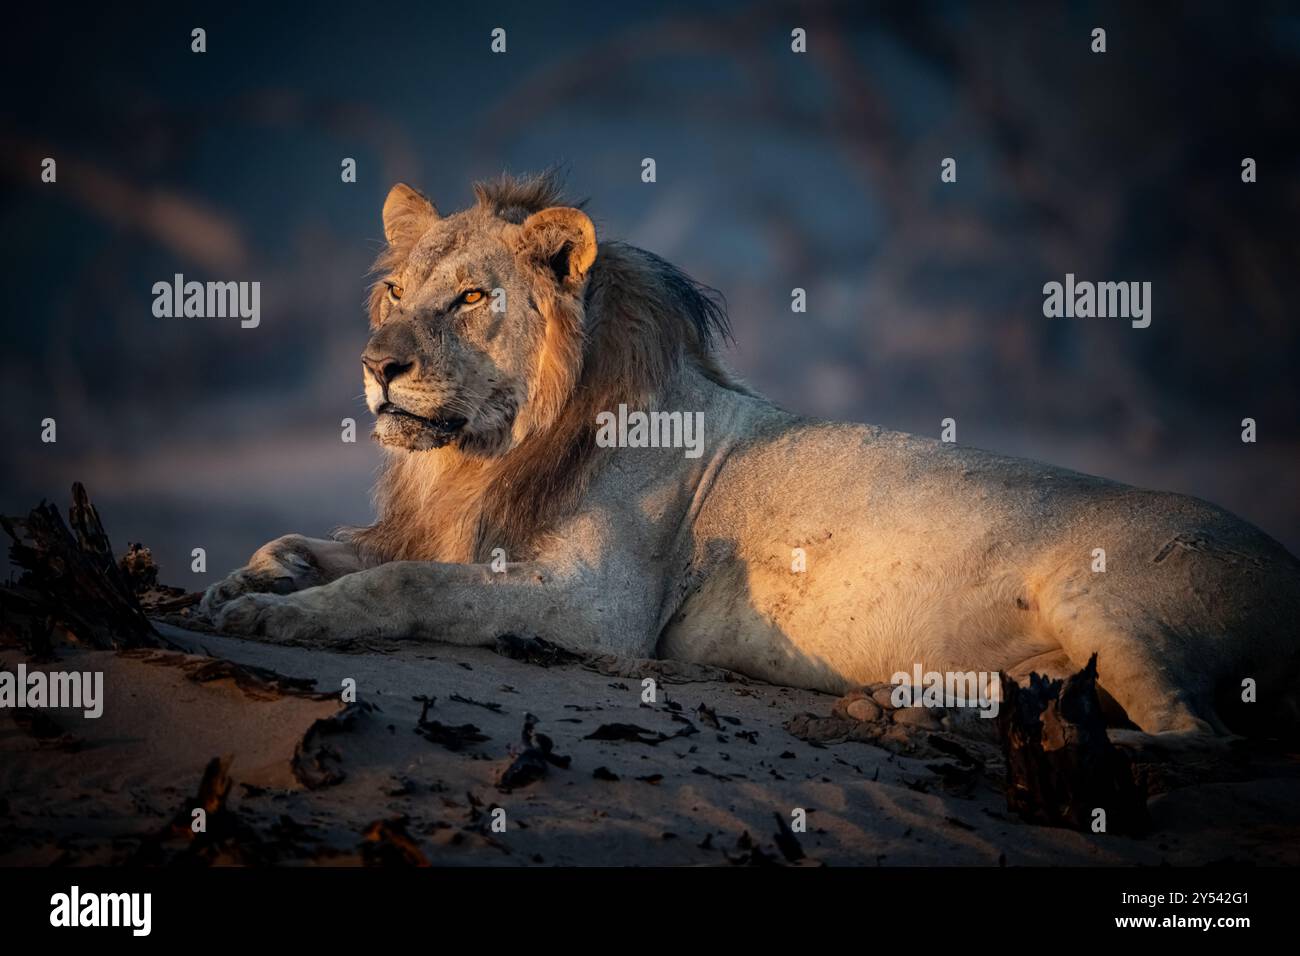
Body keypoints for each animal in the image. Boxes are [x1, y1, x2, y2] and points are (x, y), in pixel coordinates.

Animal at [202, 174, 1300, 738]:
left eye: (471, 297)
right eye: (395, 292)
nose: (376, 365)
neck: (483, 453)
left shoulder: (600, 607)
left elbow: (407, 586)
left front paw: (279, 617)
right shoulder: (444, 528)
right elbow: (324, 545)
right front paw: (248, 579)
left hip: (1105, 600)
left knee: (1195, 737)